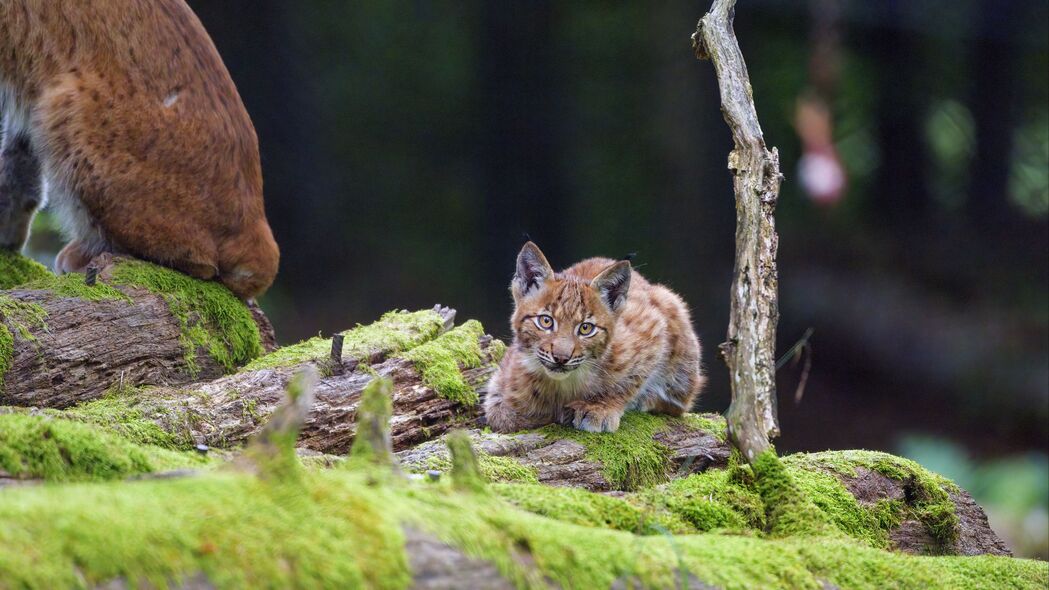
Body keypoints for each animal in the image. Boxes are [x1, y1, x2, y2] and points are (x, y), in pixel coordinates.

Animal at [484, 240, 704, 432]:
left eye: (585, 328)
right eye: (546, 321)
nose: (561, 358)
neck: (562, 383)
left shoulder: (653, 326)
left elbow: (631, 380)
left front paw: (599, 407)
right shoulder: (500, 382)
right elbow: (502, 415)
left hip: (672, 307)